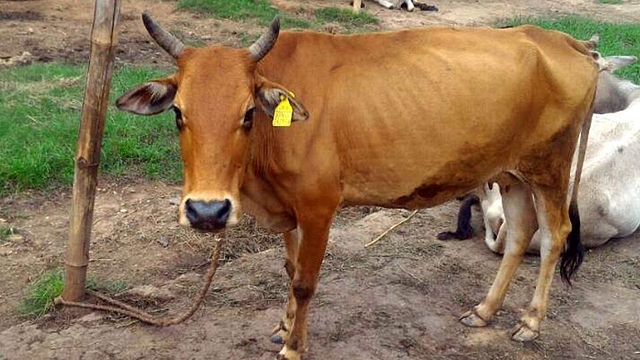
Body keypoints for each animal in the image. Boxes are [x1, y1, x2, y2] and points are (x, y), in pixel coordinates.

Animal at [116, 14, 600, 360]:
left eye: (248, 114)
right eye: (178, 113)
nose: (206, 212)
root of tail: (563, 40)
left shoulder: (318, 206)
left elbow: (305, 281)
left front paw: (294, 346)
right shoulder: (288, 208)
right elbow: (289, 269)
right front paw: (283, 327)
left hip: (550, 168)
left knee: (554, 235)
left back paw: (531, 322)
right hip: (510, 173)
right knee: (518, 234)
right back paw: (484, 311)